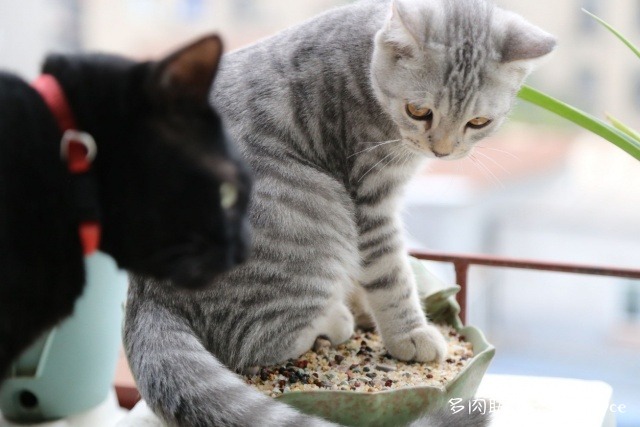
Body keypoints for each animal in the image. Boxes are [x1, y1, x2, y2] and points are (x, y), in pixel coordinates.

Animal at [124, 0, 556, 426]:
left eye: (478, 122)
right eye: (418, 111)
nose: (443, 150)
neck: (363, 68)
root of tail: (146, 295)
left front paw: (367, 307)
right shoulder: (369, 197)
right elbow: (391, 275)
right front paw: (409, 334)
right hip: (318, 216)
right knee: (255, 343)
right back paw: (334, 319)